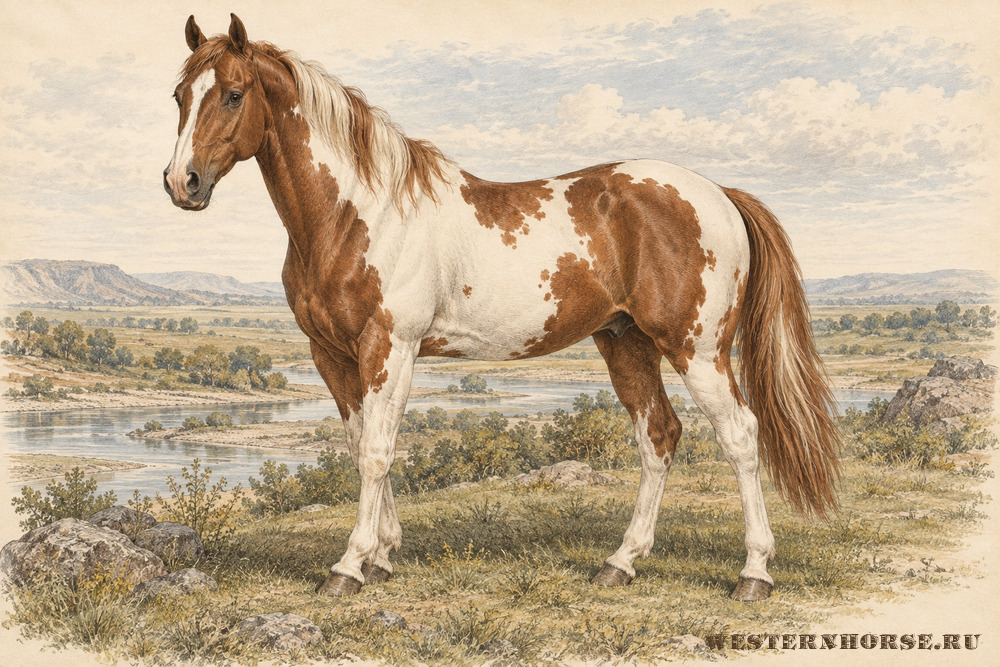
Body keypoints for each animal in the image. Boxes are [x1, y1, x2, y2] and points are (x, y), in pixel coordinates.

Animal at [164, 14, 840, 601]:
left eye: (232, 94)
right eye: (178, 96)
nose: (181, 183)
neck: (356, 214)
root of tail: (718, 193)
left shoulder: (391, 345)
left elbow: (379, 449)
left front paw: (350, 566)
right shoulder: (329, 353)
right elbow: (362, 447)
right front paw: (382, 555)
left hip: (696, 348)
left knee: (740, 436)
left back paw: (753, 574)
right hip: (626, 342)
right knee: (659, 437)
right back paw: (620, 563)